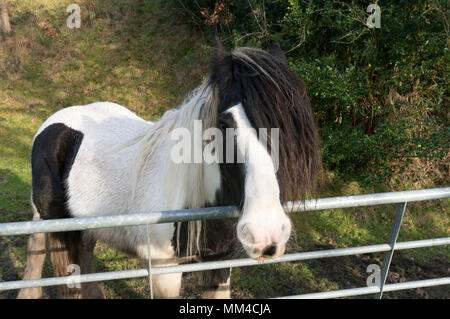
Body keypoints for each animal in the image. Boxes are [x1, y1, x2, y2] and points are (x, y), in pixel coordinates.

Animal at [17, 40, 320, 300]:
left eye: (287, 125)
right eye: (223, 124)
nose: (266, 235)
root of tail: (56, 121)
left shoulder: (219, 264)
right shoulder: (165, 271)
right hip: (56, 225)